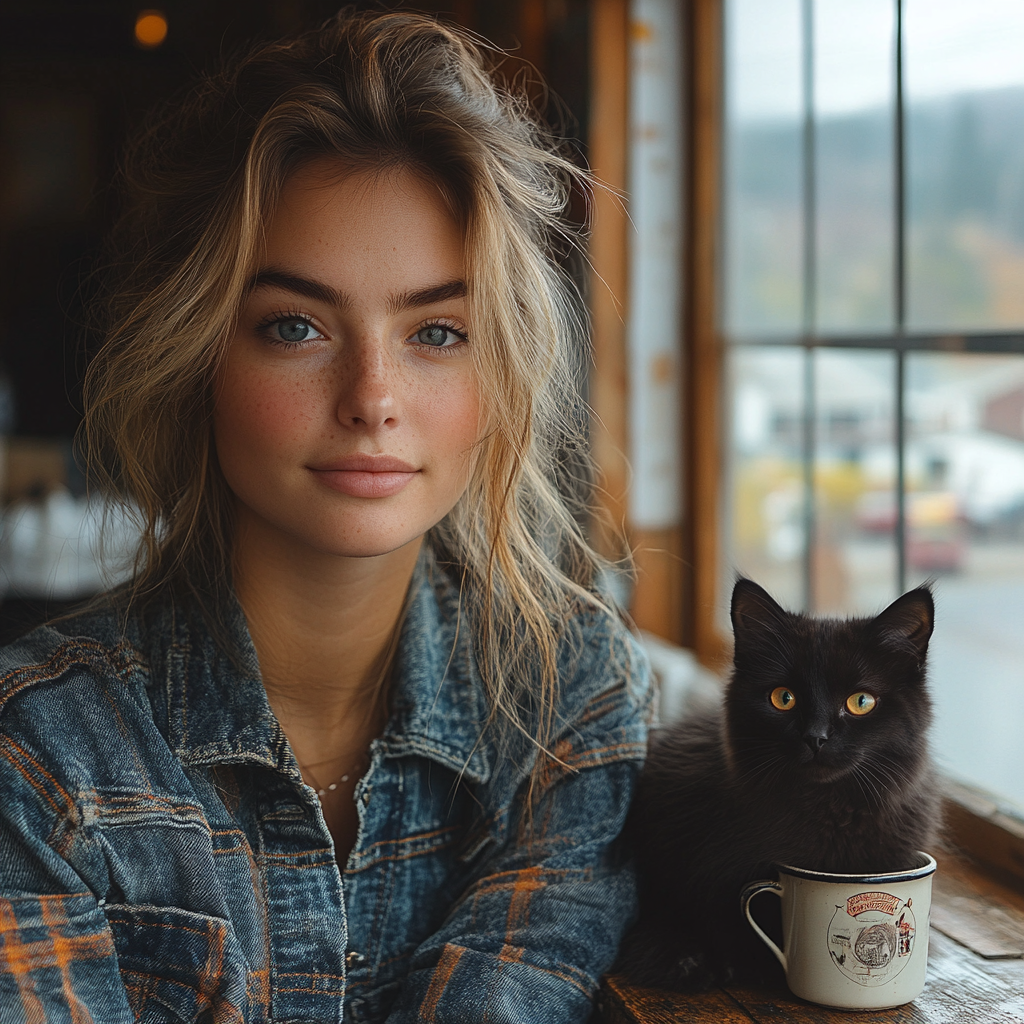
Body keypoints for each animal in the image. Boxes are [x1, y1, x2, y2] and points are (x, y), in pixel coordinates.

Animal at [618, 581, 937, 987]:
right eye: (784, 698)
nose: (815, 737)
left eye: (861, 701)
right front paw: (728, 964)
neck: (827, 810)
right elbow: (727, 921)